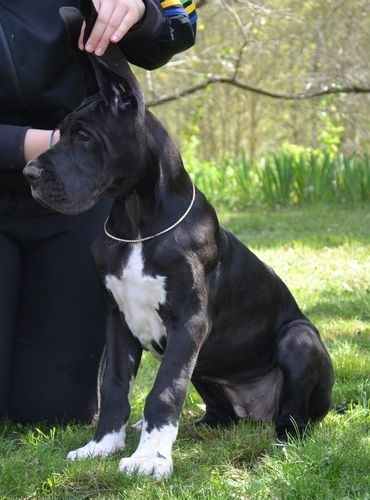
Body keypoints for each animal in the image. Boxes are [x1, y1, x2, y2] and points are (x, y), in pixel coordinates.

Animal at [24, 0, 334, 480]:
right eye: (61, 131)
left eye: (85, 136)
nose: (29, 173)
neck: (136, 221)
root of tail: (258, 412)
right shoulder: (116, 319)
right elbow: (114, 385)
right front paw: (103, 444)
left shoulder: (189, 322)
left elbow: (164, 390)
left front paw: (150, 457)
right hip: (209, 372)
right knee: (221, 413)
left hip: (299, 340)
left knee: (296, 414)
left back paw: (283, 440)